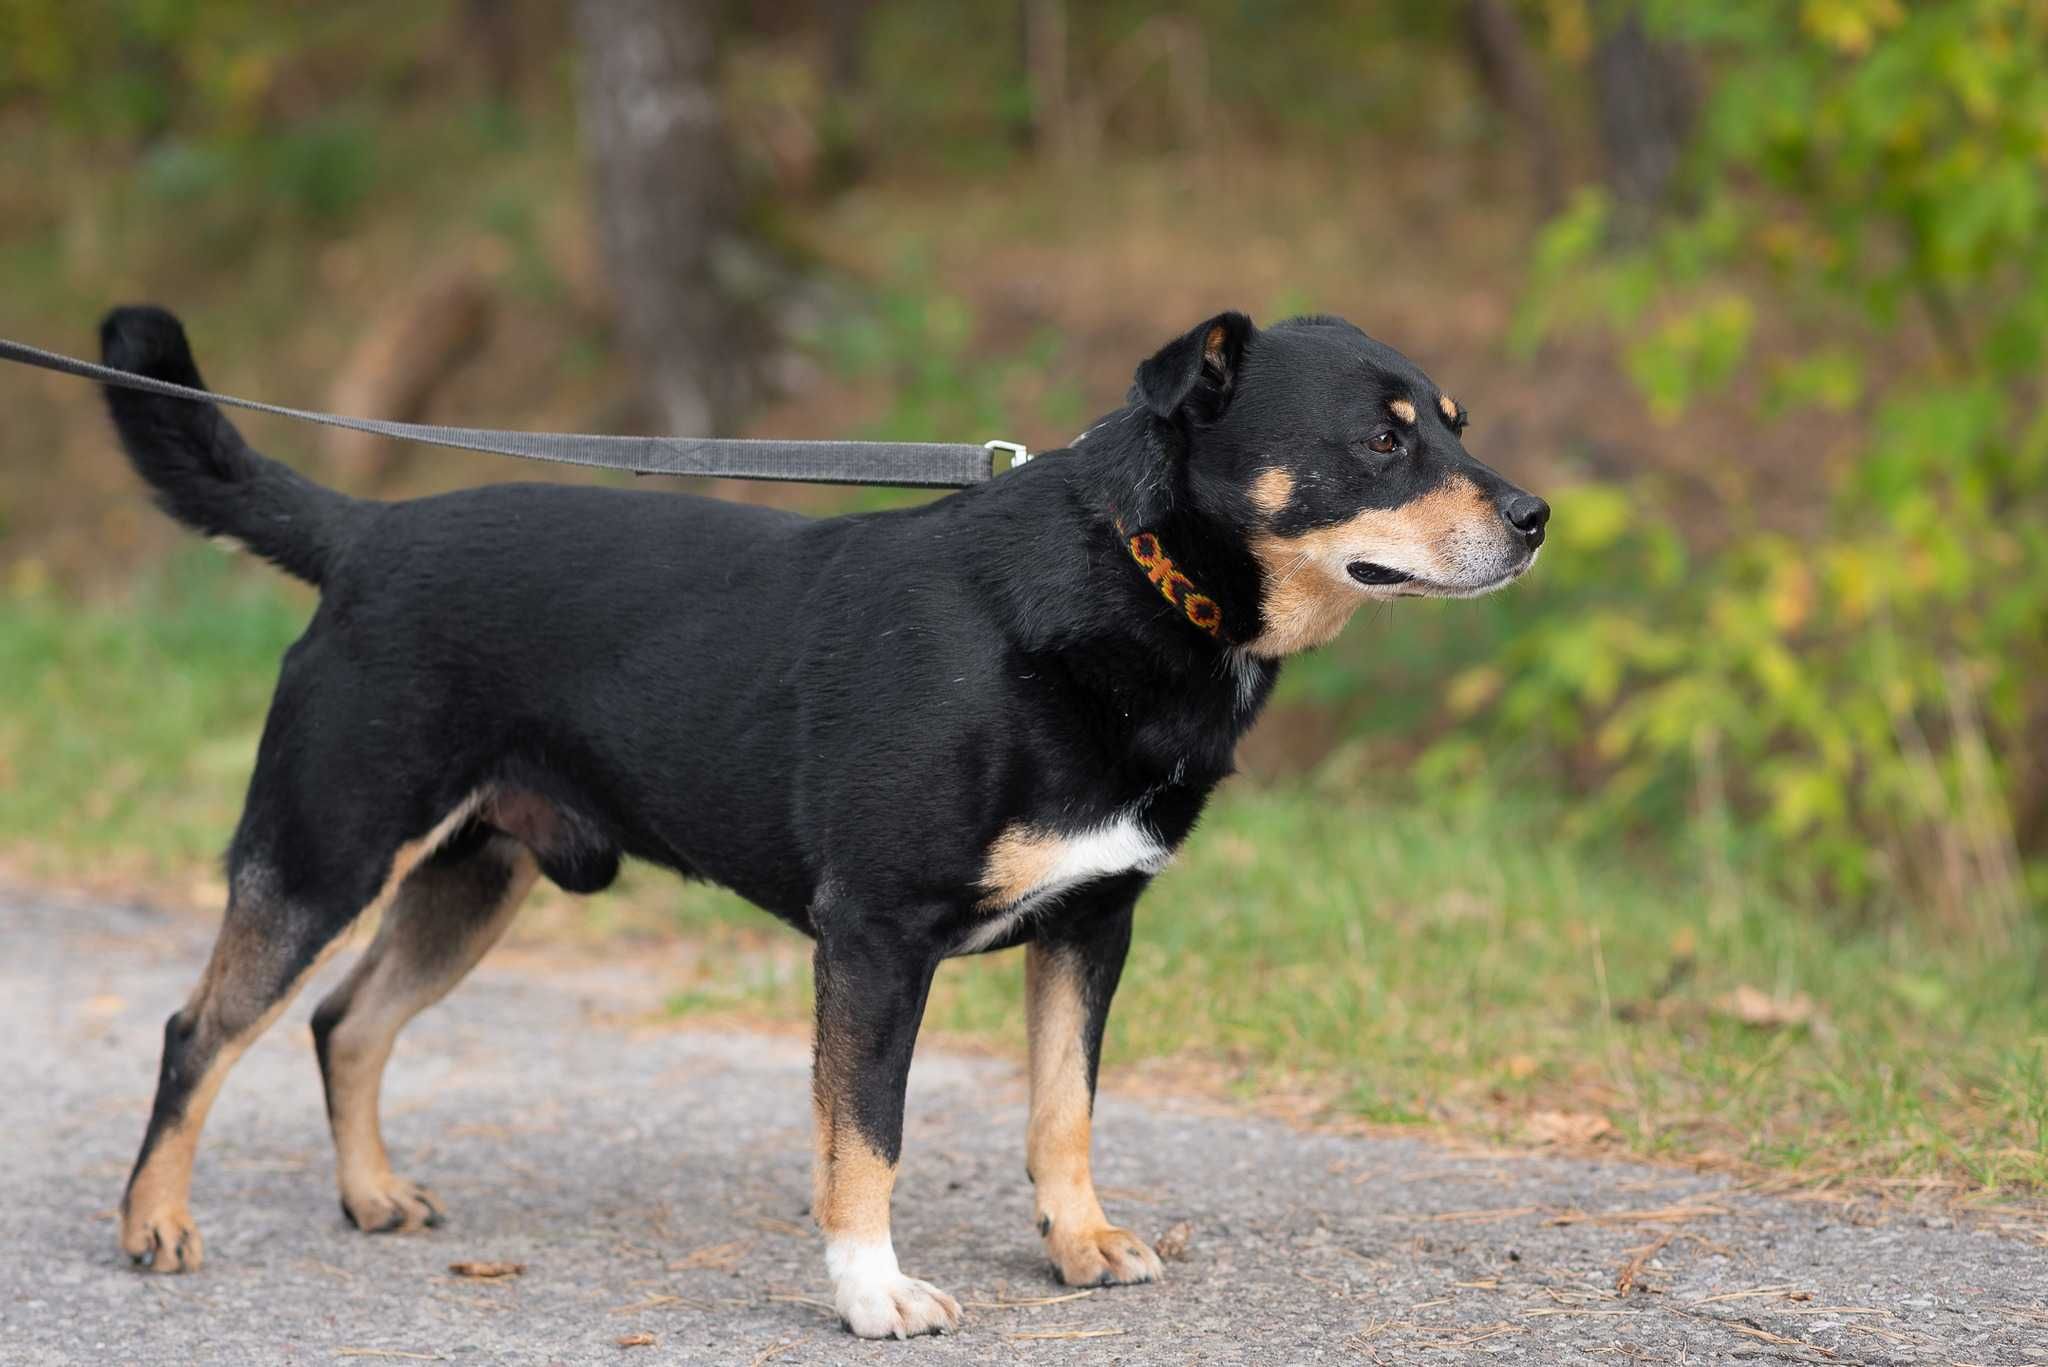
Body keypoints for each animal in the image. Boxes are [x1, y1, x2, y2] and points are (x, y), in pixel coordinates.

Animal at [96, 305, 1540, 1344]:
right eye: (1383, 440)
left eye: (1456, 425)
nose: (1534, 518)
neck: (1124, 582)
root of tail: (365, 535)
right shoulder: (873, 939)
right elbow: (867, 1143)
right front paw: (872, 1293)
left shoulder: (1091, 926)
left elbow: (1060, 1112)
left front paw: (1078, 1244)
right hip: (324, 848)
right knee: (199, 1029)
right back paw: (154, 1222)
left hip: (472, 877)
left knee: (349, 1020)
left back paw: (370, 1193)